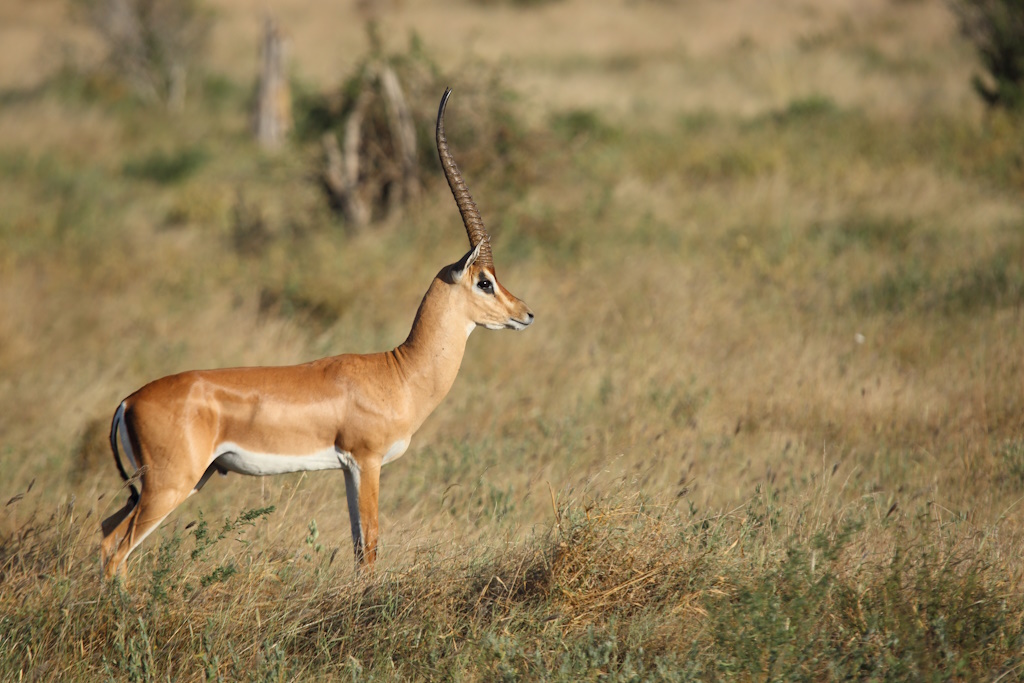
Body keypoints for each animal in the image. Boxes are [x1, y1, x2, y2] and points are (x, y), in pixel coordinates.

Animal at [100, 89, 534, 579]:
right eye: (485, 281)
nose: (525, 313)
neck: (399, 374)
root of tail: (128, 402)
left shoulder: (347, 470)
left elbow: (358, 547)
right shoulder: (367, 462)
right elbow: (371, 548)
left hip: (170, 484)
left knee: (104, 529)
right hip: (169, 485)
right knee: (115, 548)